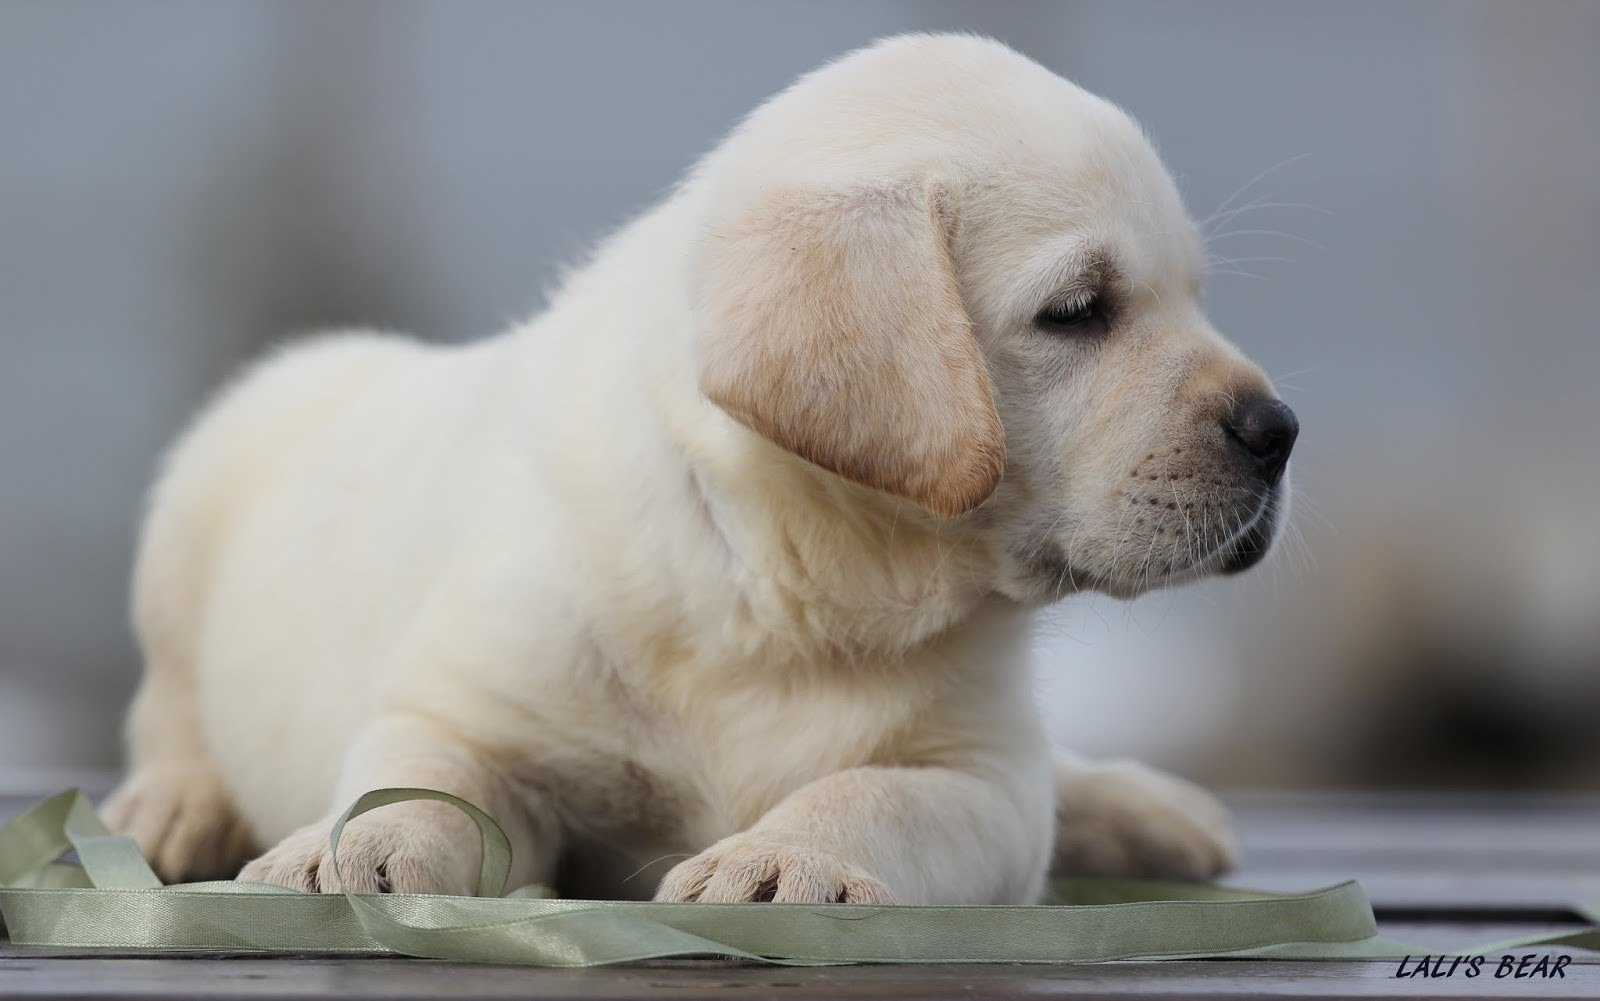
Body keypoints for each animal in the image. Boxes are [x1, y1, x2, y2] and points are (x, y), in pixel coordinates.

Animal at [106, 35, 1292, 901]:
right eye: (1079, 310)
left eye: (1194, 293)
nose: (1279, 429)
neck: (795, 572)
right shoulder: (472, 704)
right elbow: (423, 777)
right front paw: (350, 845)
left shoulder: (981, 774)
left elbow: (874, 794)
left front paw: (784, 855)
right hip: (194, 510)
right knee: (168, 709)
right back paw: (177, 802)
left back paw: (1137, 810)